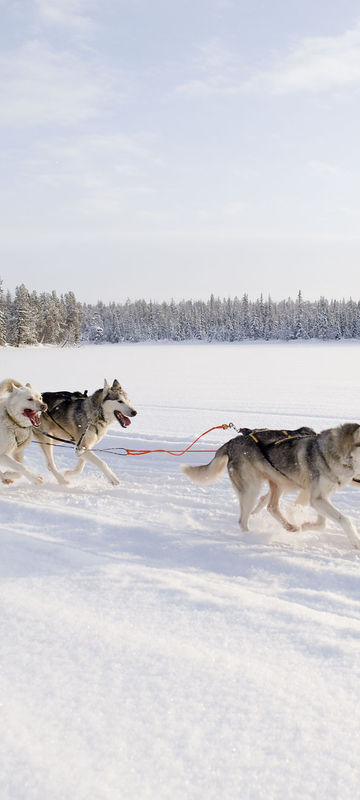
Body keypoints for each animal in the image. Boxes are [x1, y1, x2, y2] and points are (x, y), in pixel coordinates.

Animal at [183, 424, 360, 552]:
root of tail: (231, 442)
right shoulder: (315, 497)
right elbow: (344, 519)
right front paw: (356, 542)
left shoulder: (319, 496)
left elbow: (322, 523)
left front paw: (304, 525)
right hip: (252, 489)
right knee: (244, 520)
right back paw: (252, 537)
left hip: (277, 482)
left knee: (271, 506)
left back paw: (289, 526)